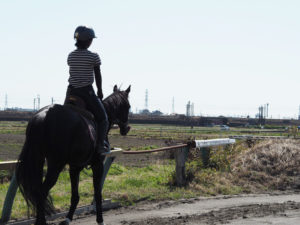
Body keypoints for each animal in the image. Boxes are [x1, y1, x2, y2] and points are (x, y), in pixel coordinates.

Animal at [15, 85, 131, 224]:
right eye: (128, 106)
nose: (126, 128)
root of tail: (42, 117)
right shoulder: (97, 165)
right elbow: (97, 193)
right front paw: (100, 220)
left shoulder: (75, 167)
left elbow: (75, 196)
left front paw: (68, 219)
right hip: (56, 164)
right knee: (42, 192)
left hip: (38, 159)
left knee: (37, 191)